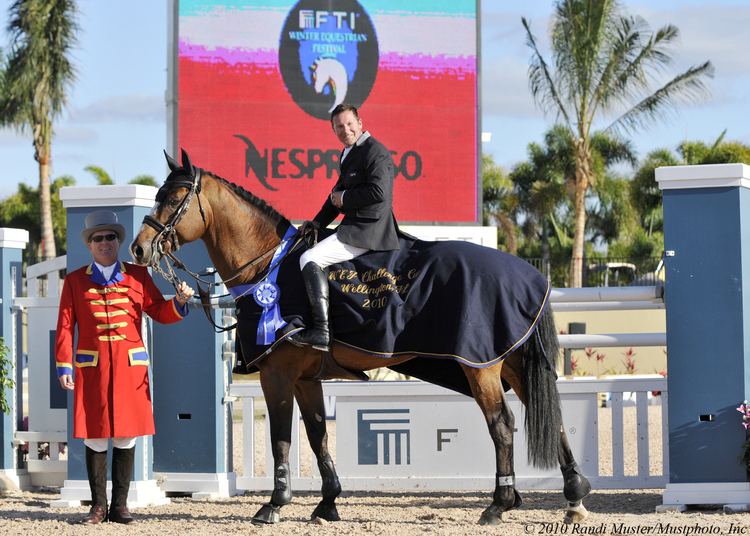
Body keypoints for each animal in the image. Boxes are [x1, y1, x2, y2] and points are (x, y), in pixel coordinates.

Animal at [131, 151, 592, 528]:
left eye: (173, 199)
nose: (139, 249)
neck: (270, 267)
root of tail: (527, 274)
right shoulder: (305, 378)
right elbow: (317, 434)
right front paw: (327, 503)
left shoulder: (277, 375)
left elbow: (281, 437)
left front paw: (274, 505)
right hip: (511, 362)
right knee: (548, 413)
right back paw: (574, 496)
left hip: (481, 368)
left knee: (502, 425)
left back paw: (499, 504)